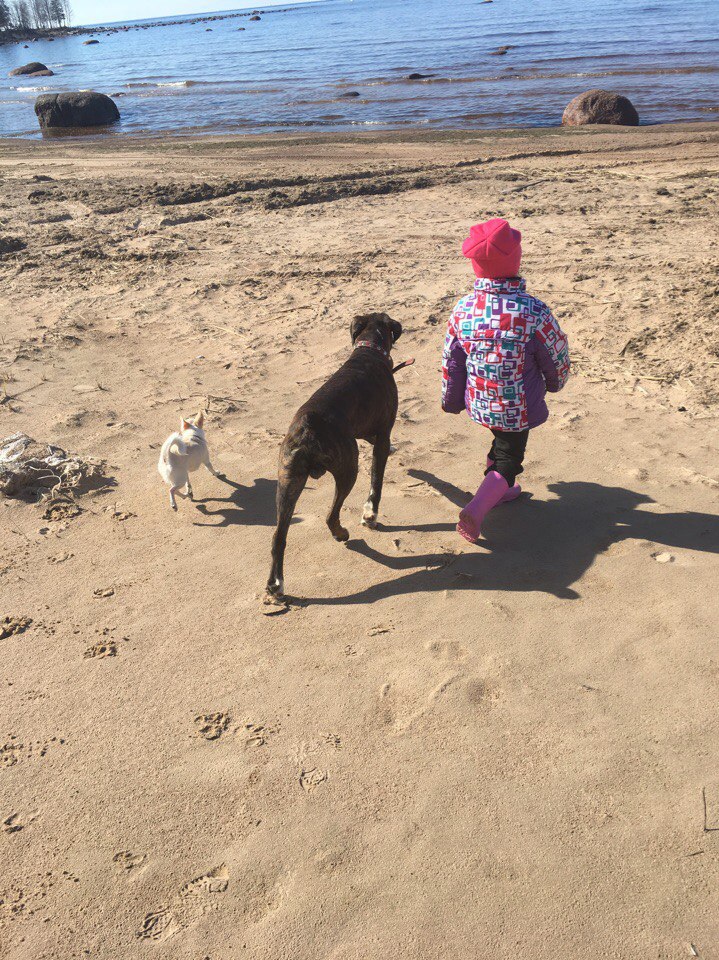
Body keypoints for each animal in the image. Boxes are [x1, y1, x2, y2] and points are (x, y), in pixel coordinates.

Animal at [266, 312, 405, 600]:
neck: (367, 348)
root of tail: (308, 427)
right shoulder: (383, 434)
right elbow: (376, 480)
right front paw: (370, 516)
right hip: (348, 468)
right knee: (331, 515)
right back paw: (342, 534)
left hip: (288, 482)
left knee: (278, 537)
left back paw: (276, 585)